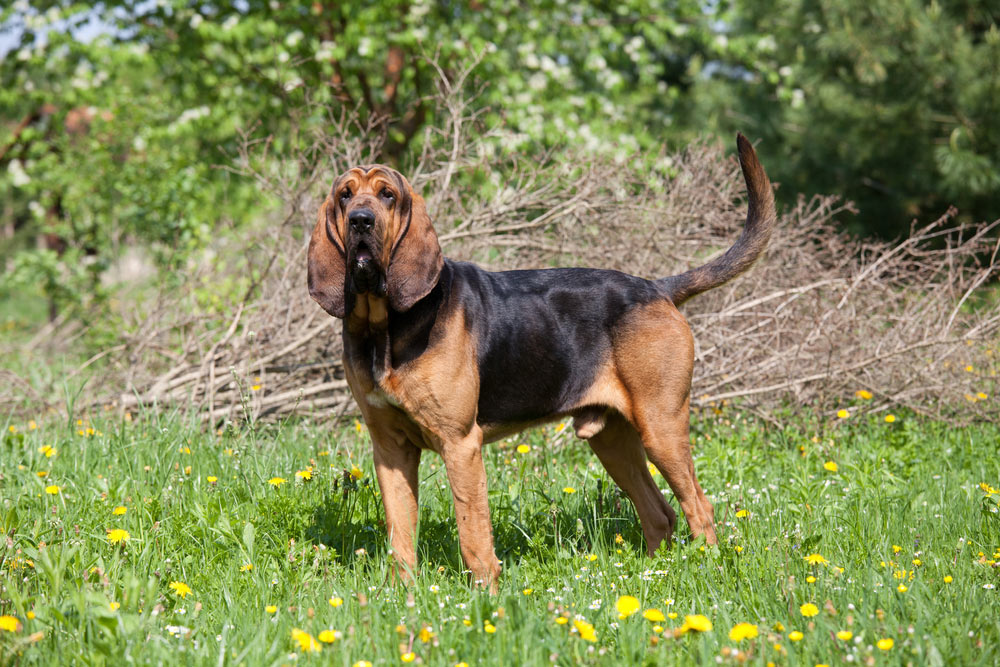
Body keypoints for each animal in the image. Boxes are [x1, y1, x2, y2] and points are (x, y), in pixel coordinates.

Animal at [308, 134, 776, 588]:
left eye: (387, 195)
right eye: (345, 196)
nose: (360, 220)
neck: (383, 326)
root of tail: (658, 288)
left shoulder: (461, 445)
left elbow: (474, 536)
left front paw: (486, 599)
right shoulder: (390, 450)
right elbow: (400, 540)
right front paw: (403, 597)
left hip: (661, 426)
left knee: (699, 506)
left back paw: (706, 570)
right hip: (613, 440)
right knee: (660, 513)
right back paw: (650, 576)